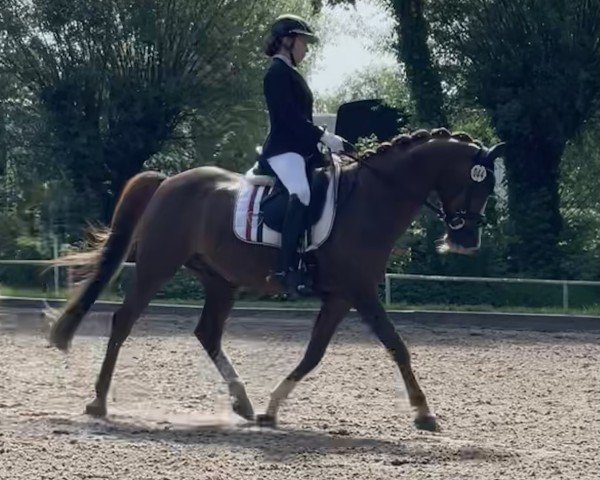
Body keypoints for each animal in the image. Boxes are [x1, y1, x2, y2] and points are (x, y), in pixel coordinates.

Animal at [48, 127, 506, 432]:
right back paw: (98, 402)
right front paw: (424, 413)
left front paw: (272, 408)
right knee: (123, 321)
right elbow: (397, 346)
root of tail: (168, 181)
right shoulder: (360, 292)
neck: (372, 199)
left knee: (207, 333)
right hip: (157, 266)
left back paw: (244, 404)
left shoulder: (341, 297)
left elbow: (314, 354)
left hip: (220, 280)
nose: (466, 242)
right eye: (477, 185)